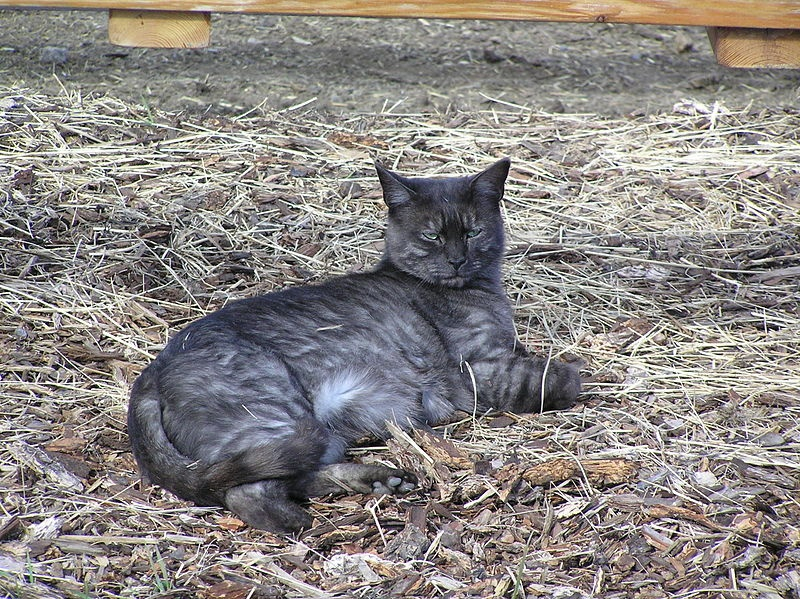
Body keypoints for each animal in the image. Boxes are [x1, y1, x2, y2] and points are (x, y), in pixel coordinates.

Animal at [130, 157, 580, 532]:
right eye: (431, 235)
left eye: (473, 232)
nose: (456, 259)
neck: (473, 290)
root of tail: (149, 375)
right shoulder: (477, 370)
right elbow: (561, 378)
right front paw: (574, 375)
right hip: (281, 415)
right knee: (247, 490)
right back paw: (301, 521)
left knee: (293, 477)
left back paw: (379, 479)